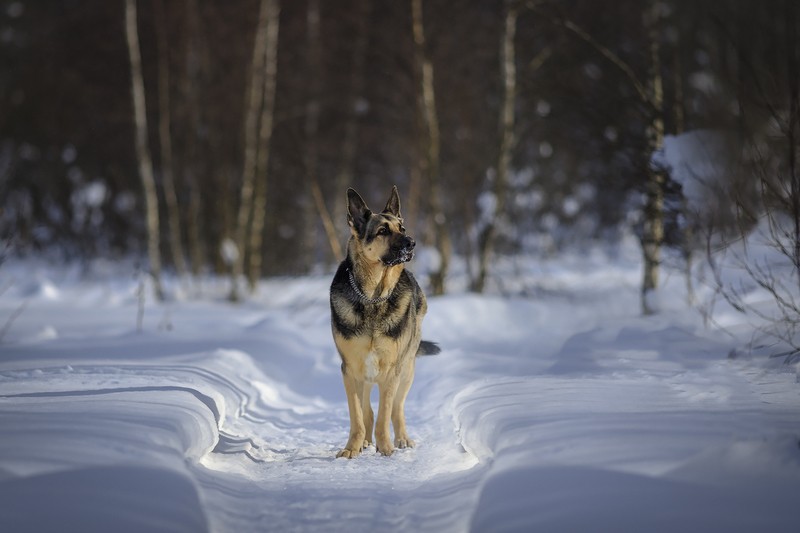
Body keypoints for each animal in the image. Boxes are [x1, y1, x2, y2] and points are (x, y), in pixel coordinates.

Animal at [332, 185, 444, 456]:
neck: (373, 298)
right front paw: (351, 448)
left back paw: (401, 439)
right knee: (367, 410)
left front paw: (386, 449)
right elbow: (357, 414)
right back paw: (364, 441)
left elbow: (385, 412)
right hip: (366, 373)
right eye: (382, 231)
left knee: (396, 409)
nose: (412, 242)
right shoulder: (350, 370)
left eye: (401, 228)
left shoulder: (392, 371)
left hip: (406, 370)